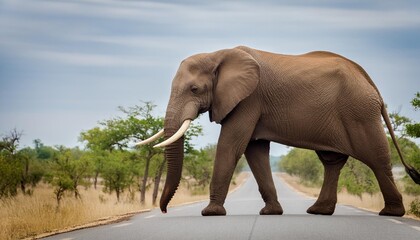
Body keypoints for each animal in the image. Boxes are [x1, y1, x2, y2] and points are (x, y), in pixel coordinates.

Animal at [136, 45, 418, 218]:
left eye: (194, 89)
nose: (164, 210)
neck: (218, 54)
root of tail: (370, 82)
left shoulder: (249, 99)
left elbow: (231, 145)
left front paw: (210, 213)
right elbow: (255, 151)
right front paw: (271, 213)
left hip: (359, 111)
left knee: (377, 158)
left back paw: (391, 214)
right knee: (332, 161)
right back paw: (319, 211)